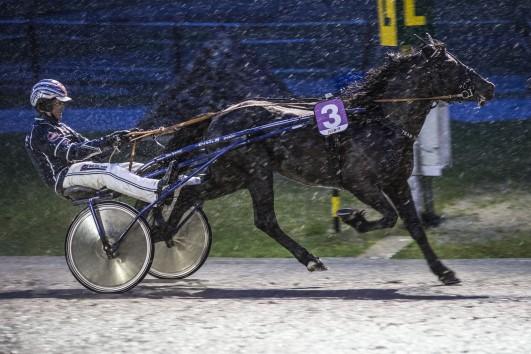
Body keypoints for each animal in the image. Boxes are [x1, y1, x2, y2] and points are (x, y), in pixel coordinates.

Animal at [162, 36, 494, 284]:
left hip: (232, 175)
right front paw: (353, 217)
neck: (381, 120)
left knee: (192, 193)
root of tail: (219, 115)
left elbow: (414, 226)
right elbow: (389, 216)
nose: (488, 86)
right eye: (450, 65)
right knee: (254, 215)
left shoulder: (397, 182)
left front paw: (444, 272)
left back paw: (165, 232)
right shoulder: (359, 182)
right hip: (253, 171)